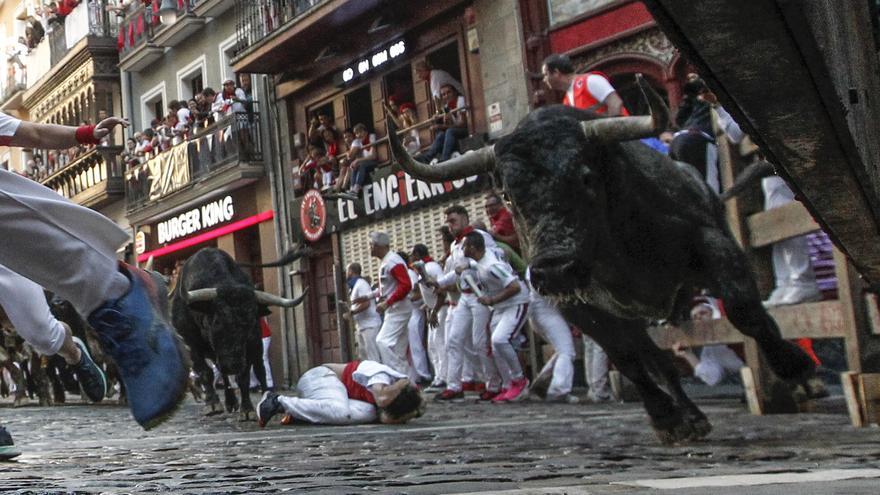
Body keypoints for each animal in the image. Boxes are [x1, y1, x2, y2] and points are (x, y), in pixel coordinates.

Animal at [172, 246, 310, 420]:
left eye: (251, 322)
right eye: (217, 321)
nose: (233, 365)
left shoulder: (250, 344)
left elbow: (243, 377)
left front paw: (247, 409)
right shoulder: (191, 343)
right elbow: (205, 372)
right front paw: (212, 403)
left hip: (256, 348)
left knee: (260, 370)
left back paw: (264, 395)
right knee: (222, 372)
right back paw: (230, 401)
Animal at [388, 78, 820, 446]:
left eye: (585, 177)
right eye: (509, 193)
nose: (555, 269)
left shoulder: (710, 241)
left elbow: (744, 309)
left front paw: (796, 369)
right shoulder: (581, 307)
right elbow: (627, 358)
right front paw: (667, 419)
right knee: (657, 360)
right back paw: (690, 416)